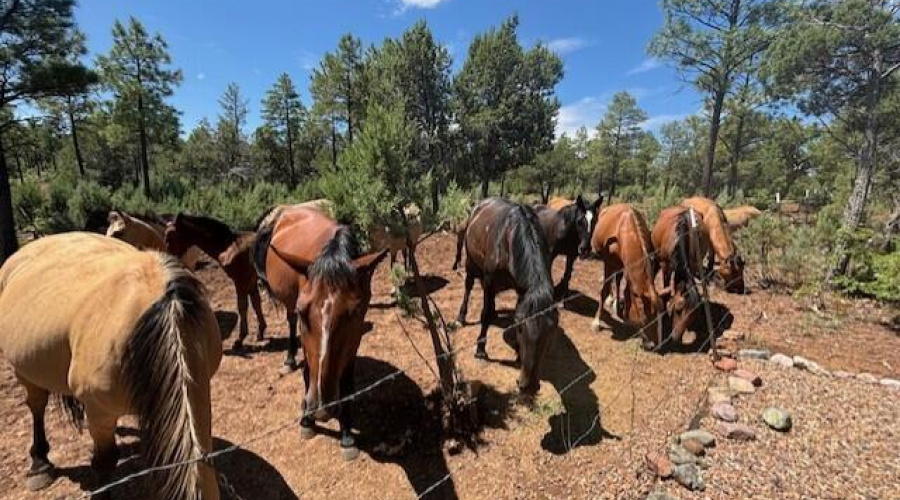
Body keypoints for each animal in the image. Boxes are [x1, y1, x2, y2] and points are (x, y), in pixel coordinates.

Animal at [165, 213, 267, 350]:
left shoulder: (241, 281)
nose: (168, 259)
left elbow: (242, 306)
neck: (229, 247)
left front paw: (240, 339)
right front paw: (260, 331)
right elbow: (256, 304)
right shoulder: (250, 281)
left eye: (170, 236)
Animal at [253, 205, 387, 459]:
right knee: (290, 322)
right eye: (303, 311)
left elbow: (347, 382)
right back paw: (289, 360)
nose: (322, 407)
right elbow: (308, 373)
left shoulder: (353, 342)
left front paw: (346, 434)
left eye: (355, 313)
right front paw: (306, 421)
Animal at [455, 198, 559, 395]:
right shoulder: (489, 280)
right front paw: (480, 350)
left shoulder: (522, 290)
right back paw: (461, 317)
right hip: (470, 263)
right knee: (468, 287)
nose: (529, 386)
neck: (511, 240)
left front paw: (518, 353)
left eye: (551, 332)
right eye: (521, 330)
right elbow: (485, 316)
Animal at [590, 204, 666, 349]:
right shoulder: (609, 263)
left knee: (618, 280)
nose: (653, 345)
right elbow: (604, 290)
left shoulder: (627, 267)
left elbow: (627, 291)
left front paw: (625, 315)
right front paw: (596, 321)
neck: (626, 232)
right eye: (645, 317)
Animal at [651, 206, 710, 344]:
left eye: (693, 316)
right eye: (678, 310)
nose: (675, 338)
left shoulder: (693, 264)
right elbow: (667, 288)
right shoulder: (665, 265)